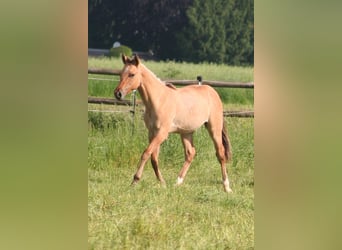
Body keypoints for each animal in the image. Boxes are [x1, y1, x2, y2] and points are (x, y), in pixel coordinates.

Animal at [113, 53, 234, 192]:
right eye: (121, 73)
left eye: (132, 74)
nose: (118, 94)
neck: (158, 100)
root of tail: (212, 91)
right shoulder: (152, 132)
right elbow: (154, 158)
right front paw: (163, 182)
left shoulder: (162, 133)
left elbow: (146, 153)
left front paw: (135, 181)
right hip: (186, 132)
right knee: (190, 153)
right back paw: (178, 182)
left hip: (214, 129)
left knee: (220, 154)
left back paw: (227, 187)